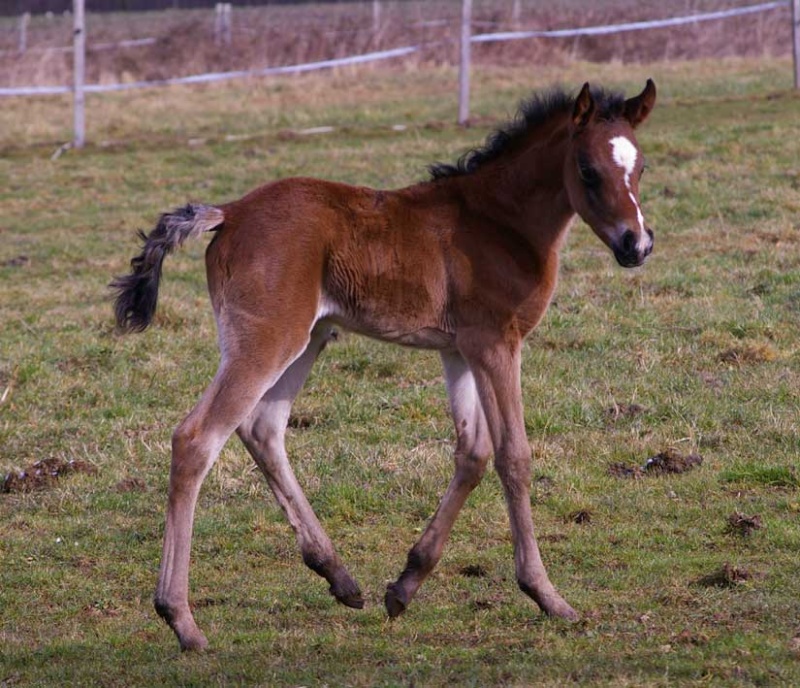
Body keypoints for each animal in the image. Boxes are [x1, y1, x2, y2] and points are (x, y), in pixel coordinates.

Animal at [115, 80, 660, 652]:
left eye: (642, 168)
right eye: (587, 169)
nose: (637, 244)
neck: (499, 221)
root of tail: (230, 210)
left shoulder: (460, 350)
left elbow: (472, 453)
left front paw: (405, 585)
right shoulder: (496, 344)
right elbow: (514, 456)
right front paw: (546, 595)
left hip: (308, 338)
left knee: (262, 428)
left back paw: (338, 576)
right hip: (268, 340)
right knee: (196, 439)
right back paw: (181, 619)